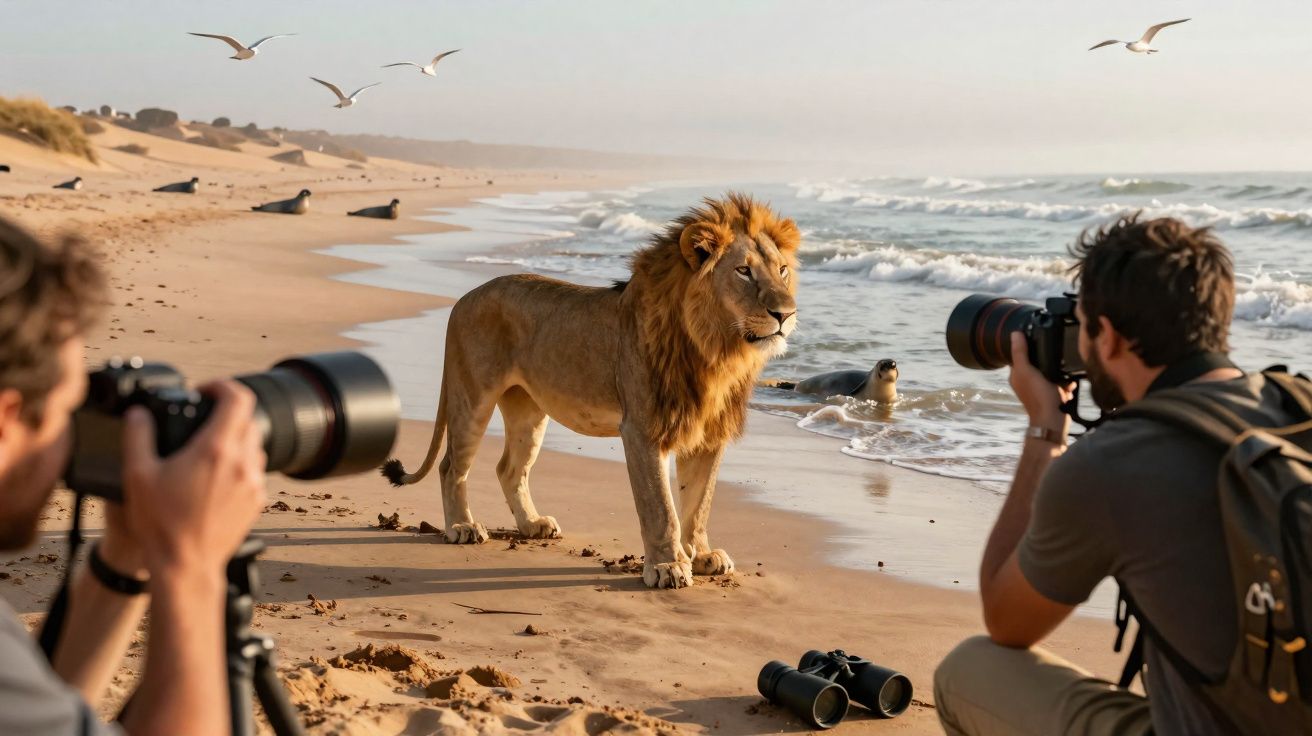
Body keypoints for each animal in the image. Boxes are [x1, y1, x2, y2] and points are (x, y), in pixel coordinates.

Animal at [381, 193, 800, 589]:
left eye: (782, 270)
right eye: (743, 271)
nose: (787, 314)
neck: (716, 350)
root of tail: (462, 299)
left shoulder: (708, 433)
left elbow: (698, 503)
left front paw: (701, 555)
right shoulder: (642, 429)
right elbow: (660, 507)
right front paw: (667, 566)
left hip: (528, 411)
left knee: (509, 469)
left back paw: (532, 525)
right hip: (472, 398)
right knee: (452, 465)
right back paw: (461, 527)